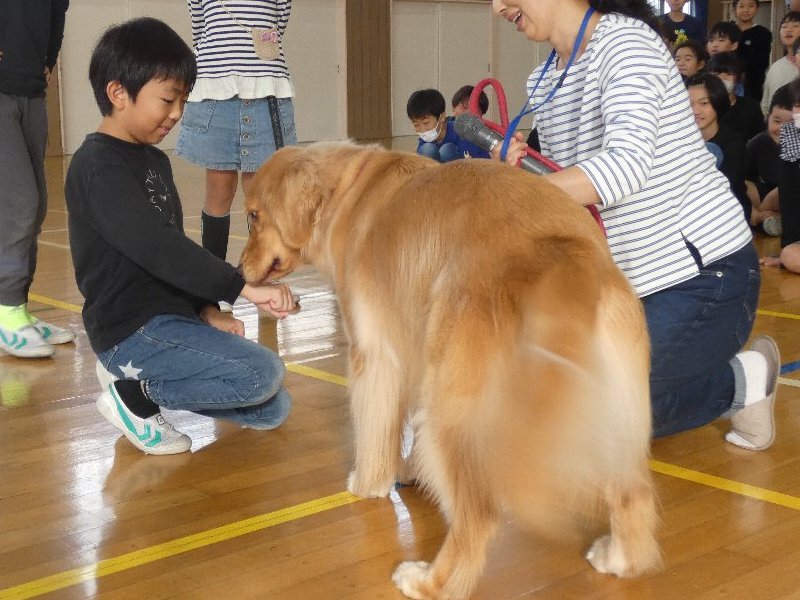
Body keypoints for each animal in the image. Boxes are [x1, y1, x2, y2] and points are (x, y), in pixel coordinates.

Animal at [239, 143, 664, 596]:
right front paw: (407, 470)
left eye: (253, 216)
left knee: (479, 515)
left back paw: (428, 581)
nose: (238, 269)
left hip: (454, 403)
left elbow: (374, 426)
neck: (348, 191)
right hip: (617, 414)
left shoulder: (376, 353)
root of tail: (562, 255)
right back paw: (620, 558)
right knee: (633, 494)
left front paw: (369, 482)